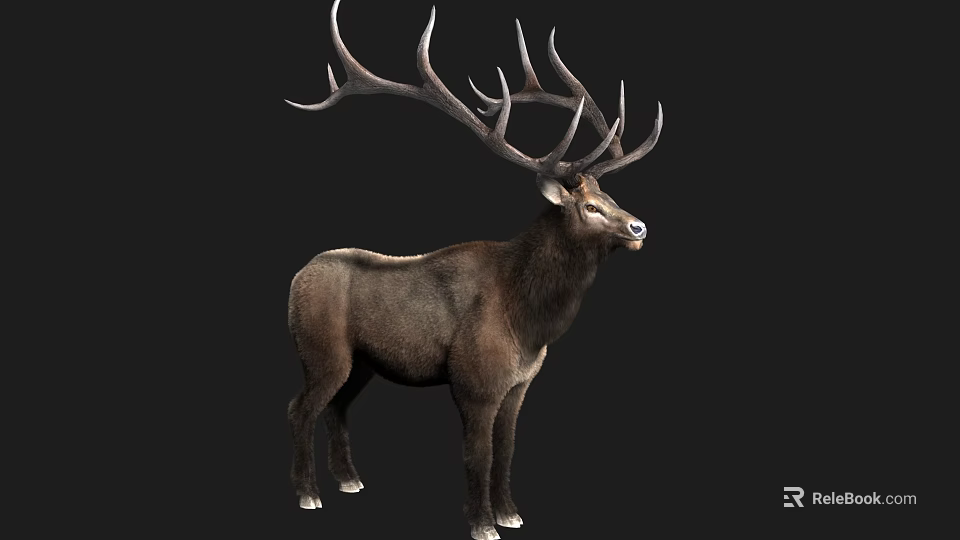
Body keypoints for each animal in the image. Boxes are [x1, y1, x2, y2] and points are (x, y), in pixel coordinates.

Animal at [284, 1, 662, 539]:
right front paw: (483, 523)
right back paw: (308, 494)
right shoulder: (474, 380)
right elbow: (477, 455)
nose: (638, 226)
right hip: (321, 351)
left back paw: (349, 480)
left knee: (337, 406)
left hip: (363, 363)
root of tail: (297, 277)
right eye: (589, 206)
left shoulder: (519, 384)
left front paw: (511, 513)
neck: (528, 323)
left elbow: (506, 452)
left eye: (609, 195)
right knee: (300, 408)